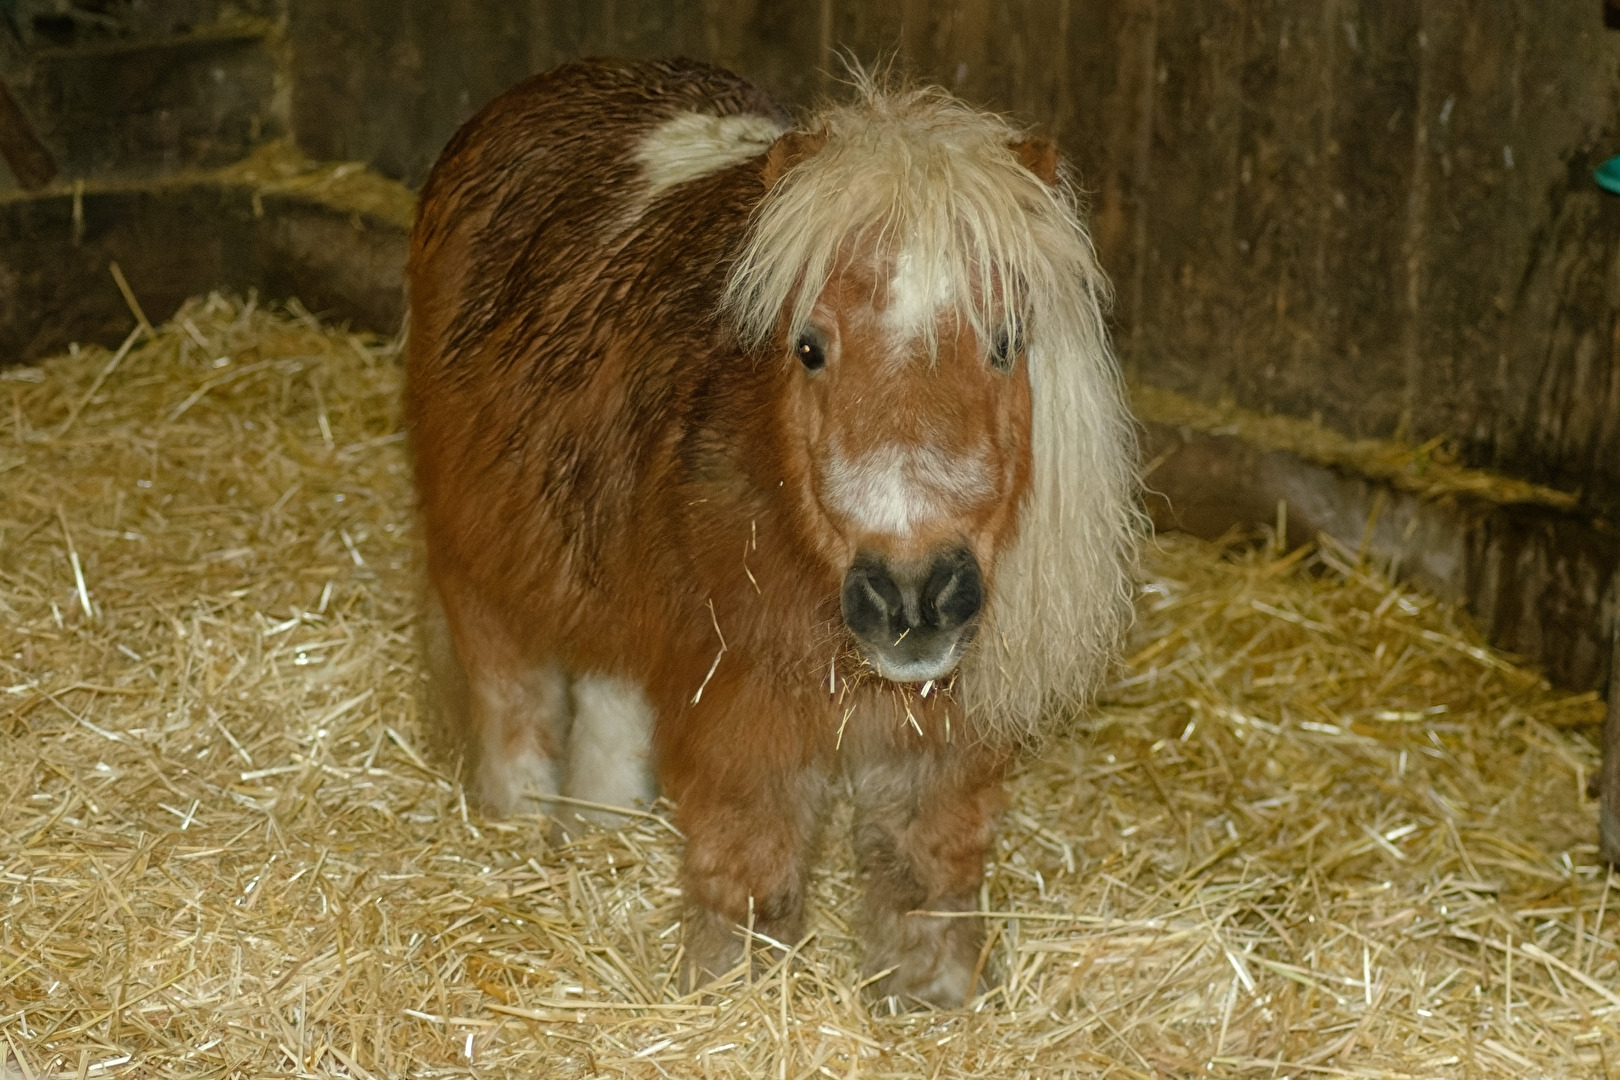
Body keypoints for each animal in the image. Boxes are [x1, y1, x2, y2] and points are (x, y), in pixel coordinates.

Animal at [405, 57, 1138, 1006]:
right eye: (809, 347)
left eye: (1007, 342)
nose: (913, 597)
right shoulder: (745, 723)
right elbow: (751, 879)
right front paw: (733, 1003)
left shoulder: (938, 741)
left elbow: (925, 878)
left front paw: (933, 1007)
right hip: (483, 571)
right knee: (515, 714)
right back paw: (517, 835)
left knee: (608, 711)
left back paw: (599, 835)